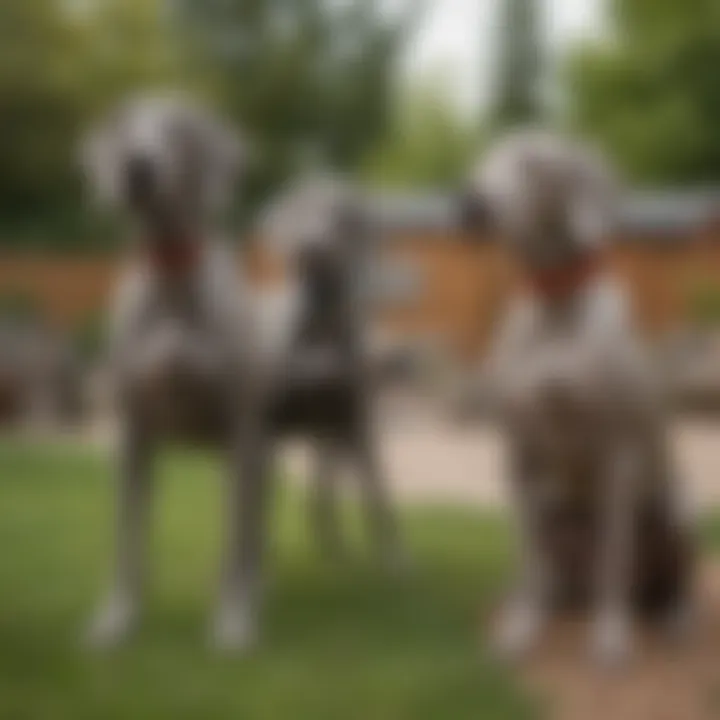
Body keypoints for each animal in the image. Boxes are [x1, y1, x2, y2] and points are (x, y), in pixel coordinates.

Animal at [80, 93, 278, 648]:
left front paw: (232, 624)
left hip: (256, 462)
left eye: (179, 129)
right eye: (126, 125)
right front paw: (116, 621)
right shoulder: (132, 433)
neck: (170, 274)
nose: (136, 166)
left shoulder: (239, 429)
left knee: (250, 539)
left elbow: (234, 544)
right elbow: (126, 542)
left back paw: (252, 595)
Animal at [258, 176, 404, 568]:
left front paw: (395, 561)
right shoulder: (267, 420)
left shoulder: (356, 421)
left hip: (331, 434)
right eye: (302, 211)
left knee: (325, 491)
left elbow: (377, 495)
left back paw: (337, 547)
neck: (321, 330)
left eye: (338, 216)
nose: (311, 248)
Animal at [462, 132, 692, 668]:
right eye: (480, 162)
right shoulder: (519, 456)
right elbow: (526, 560)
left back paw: (672, 619)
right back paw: (552, 603)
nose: (469, 204)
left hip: (677, 512)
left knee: (664, 581)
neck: (554, 300)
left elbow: (614, 556)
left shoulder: (617, 455)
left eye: (533, 162)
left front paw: (610, 638)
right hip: (553, 513)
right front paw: (521, 630)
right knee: (553, 571)